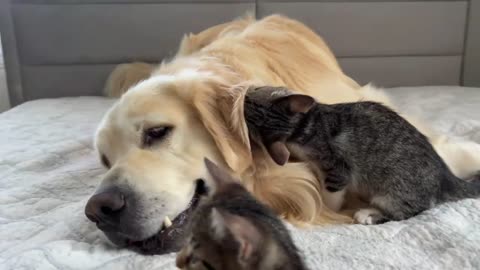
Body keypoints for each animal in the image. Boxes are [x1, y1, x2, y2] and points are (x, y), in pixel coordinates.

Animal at [244, 86, 480, 224]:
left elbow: (333, 192)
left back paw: (369, 214)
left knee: (407, 212)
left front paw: (329, 208)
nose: (243, 92)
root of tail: (444, 175)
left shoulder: (337, 166)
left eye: (250, 100)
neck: (302, 126)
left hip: (396, 190)